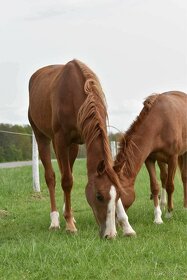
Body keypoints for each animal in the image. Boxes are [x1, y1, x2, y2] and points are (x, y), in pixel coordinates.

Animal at [28, 59, 136, 238]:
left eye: (119, 195)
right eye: (99, 196)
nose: (110, 234)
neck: (74, 94)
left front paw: (127, 226)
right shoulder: (60, 140)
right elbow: (66, 181)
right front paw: (69, 225)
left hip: (72, 147)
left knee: (67, 171)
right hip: (42, 137)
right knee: (52, 177)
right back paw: (56, 220)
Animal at [114, 91, 187, 223]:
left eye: (118, 194)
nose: (115, 219)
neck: (159, 122)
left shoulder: (173, 158)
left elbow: (170, 186)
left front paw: (169, 213)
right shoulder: (149, 159)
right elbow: (155, 186)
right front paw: (158, 217)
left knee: (184, 178)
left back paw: (184, 207)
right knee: (164, 177)